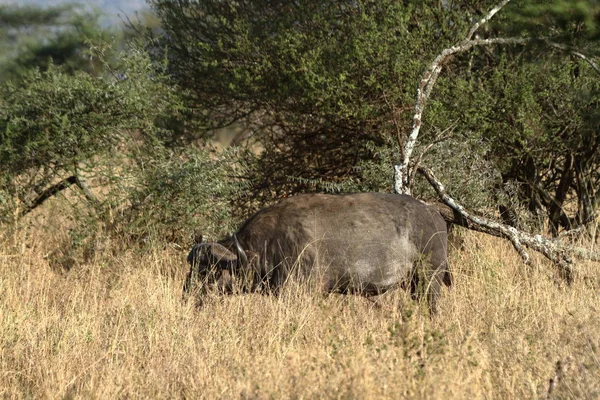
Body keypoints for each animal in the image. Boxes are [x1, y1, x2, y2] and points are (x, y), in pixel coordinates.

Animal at [183, 193, 450, 312]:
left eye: (208, 271)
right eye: (192, 268)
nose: (187, 294)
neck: (269, 243)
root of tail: (435, 215)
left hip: (429, 281)